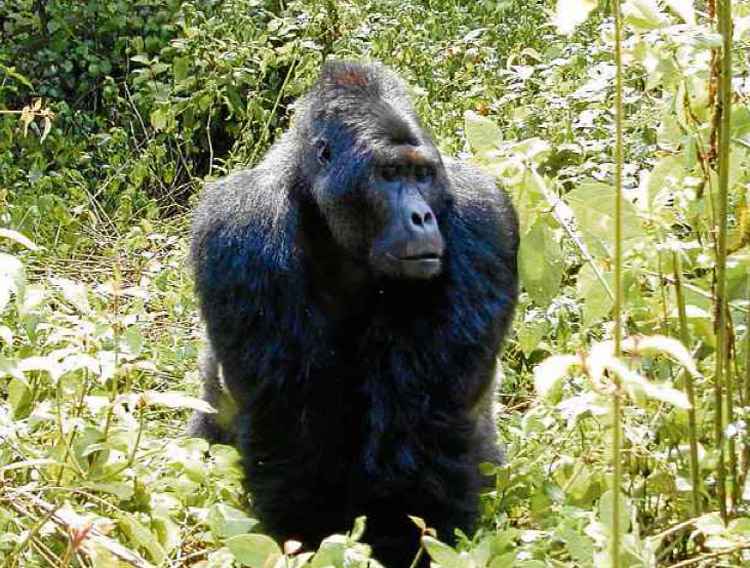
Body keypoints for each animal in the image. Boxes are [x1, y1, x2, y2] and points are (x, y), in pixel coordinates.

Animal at [188, 60, 520, 564]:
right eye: (389, 173)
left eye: (422, 175)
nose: (422, 217)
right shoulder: (241, 228)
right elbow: (290, 424)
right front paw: (311, 540)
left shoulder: (484, 218)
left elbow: (427, 424)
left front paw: (403, 545)